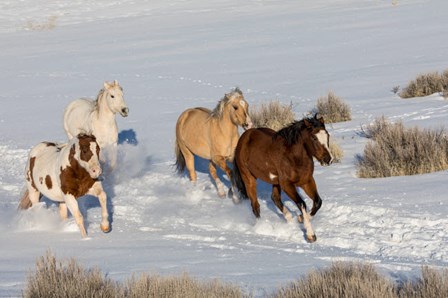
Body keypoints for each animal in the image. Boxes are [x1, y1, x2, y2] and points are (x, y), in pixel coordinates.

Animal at [231, 114, 332, 242]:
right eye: (314, 138)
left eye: (327, 135)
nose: (328, 159)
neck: (293, 156)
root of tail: (242, 140)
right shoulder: (287, 184)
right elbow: (301, 203)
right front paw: (311, 235)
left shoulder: (306, 181)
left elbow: (318, 202)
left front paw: (300, 218)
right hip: (249, 178)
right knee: (255, 205)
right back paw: (263, 227)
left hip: (275, 182)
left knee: (275, 198)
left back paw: (289, 220)